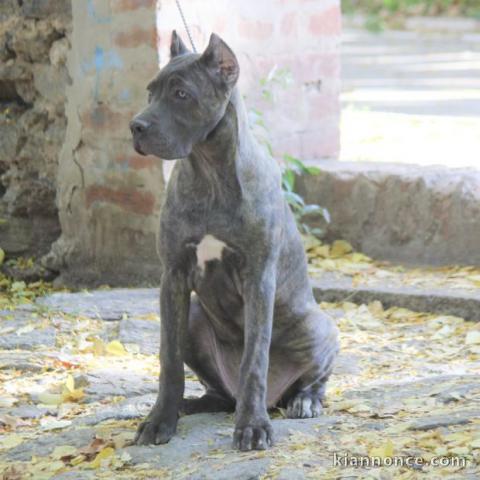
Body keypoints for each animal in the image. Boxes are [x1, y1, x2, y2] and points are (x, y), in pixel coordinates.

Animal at [127, 30, 338, 450]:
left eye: (181, 94)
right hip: (195, 317)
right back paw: (191, 405)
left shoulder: (258, 278)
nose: (135, 127)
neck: (209, 172)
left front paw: (252, 426)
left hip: (319, 325)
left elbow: (254, 359)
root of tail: (279, 398)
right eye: (150, 92)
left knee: (314, 376)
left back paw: (304, 400)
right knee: (218, 392)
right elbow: (168, 358)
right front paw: (160, 419)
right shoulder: (173, 276)